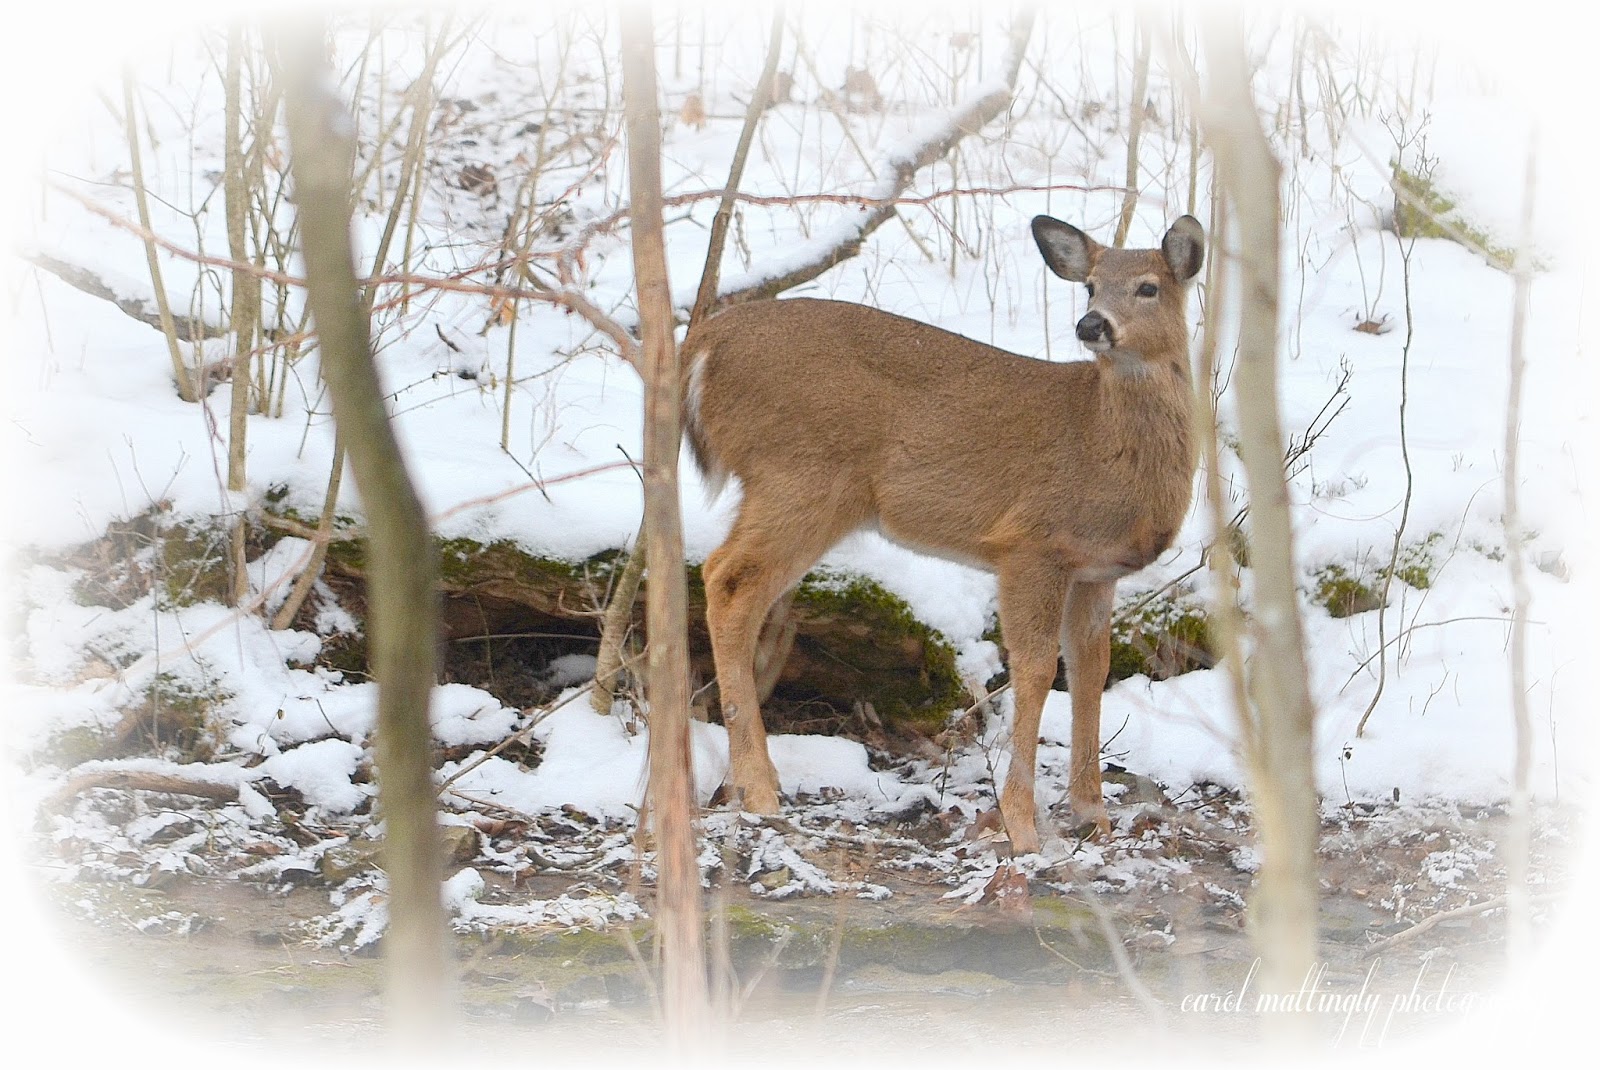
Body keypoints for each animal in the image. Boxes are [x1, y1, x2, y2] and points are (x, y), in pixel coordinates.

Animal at [681, 214, 1205, 853]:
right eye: (1090, 286)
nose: (1091, 325)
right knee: (727, 579)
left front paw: (1092, 815)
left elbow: (1090, 670)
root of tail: (704, 345)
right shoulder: (1031, 543)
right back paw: (757, 788)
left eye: (1148, 287)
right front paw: (1021, 825)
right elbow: (1034, 669)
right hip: (801, 478)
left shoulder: (1093, 569)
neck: (1105, 444)